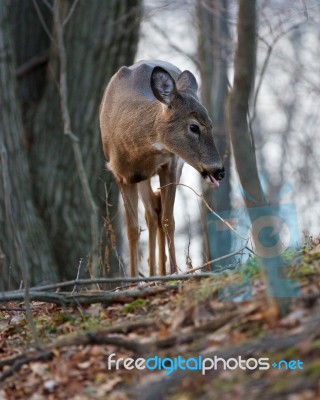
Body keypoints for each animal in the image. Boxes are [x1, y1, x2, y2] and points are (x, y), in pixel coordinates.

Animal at [99, 60, 224, 278]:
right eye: (194, 127)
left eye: (210, 124)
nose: (219, 170)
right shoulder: (121, 173)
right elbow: (132, 229)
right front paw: (132, 280)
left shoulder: (170, 163)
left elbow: (169, 220)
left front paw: (173, 273)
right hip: (141, 178)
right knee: (150, 214)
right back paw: (152, 274)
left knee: (156, 213)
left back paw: (159, 273)